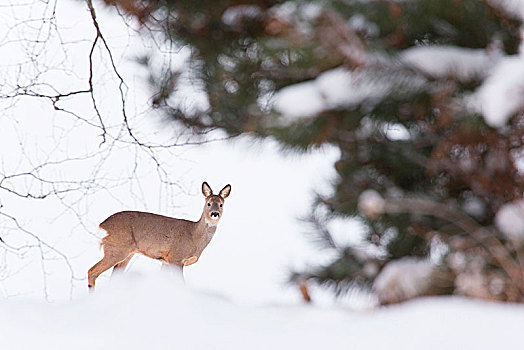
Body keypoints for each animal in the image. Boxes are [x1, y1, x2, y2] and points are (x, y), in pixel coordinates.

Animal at [87, 182, 230, 288]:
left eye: (221, 204)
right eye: (208, 203)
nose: (214, 214)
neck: (194, 236)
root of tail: (102, 225)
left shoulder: (165, 261)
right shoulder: (176, 258)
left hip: (127, 253)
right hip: (116, 248)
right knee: (92, 271)